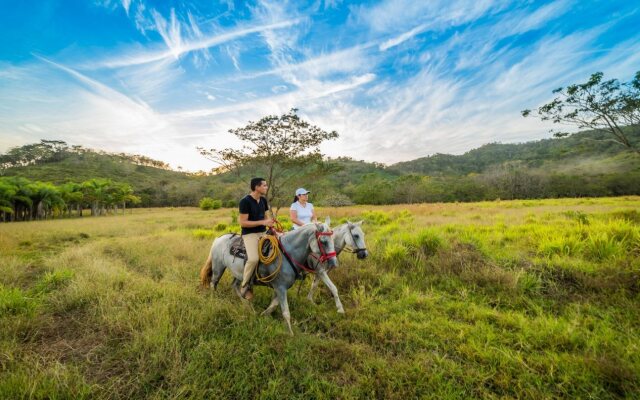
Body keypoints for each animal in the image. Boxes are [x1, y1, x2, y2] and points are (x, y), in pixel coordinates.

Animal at [200, 222, 340, 334]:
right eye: (323, 241)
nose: (333, 263)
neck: (287, 253)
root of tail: (219, 239)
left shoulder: (280, 287)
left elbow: (274, 304)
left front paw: (263, 315)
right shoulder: (280, 287)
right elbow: (286, 312)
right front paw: (290, 333)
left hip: (239, 273)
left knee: (235, 286)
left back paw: (247, 306)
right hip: (218, 268)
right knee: (213, 283)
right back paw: (214, 300)